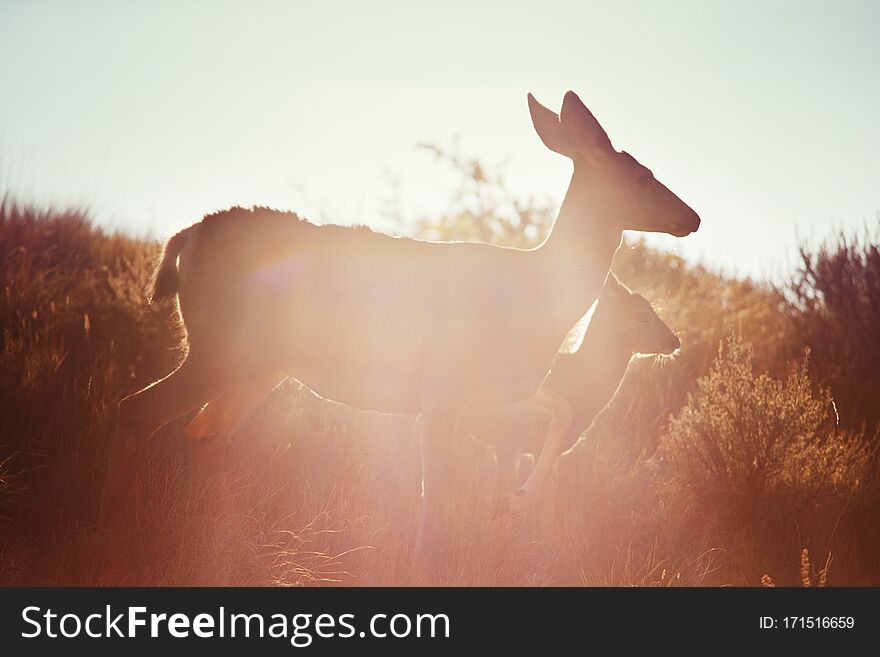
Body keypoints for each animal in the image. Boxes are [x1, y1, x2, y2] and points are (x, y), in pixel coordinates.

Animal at [101, 89, 700, 568]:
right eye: (642, 174)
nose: (693, 217)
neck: (538, 298)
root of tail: (186, 236)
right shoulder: (442, 390)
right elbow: (434, 494)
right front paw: (429, 559)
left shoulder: (491, 393)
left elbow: (558, 413)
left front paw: (516, 502)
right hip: (221, 350)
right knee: (137, 411)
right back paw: (122, 533)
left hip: (258, 367)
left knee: (204, 432)